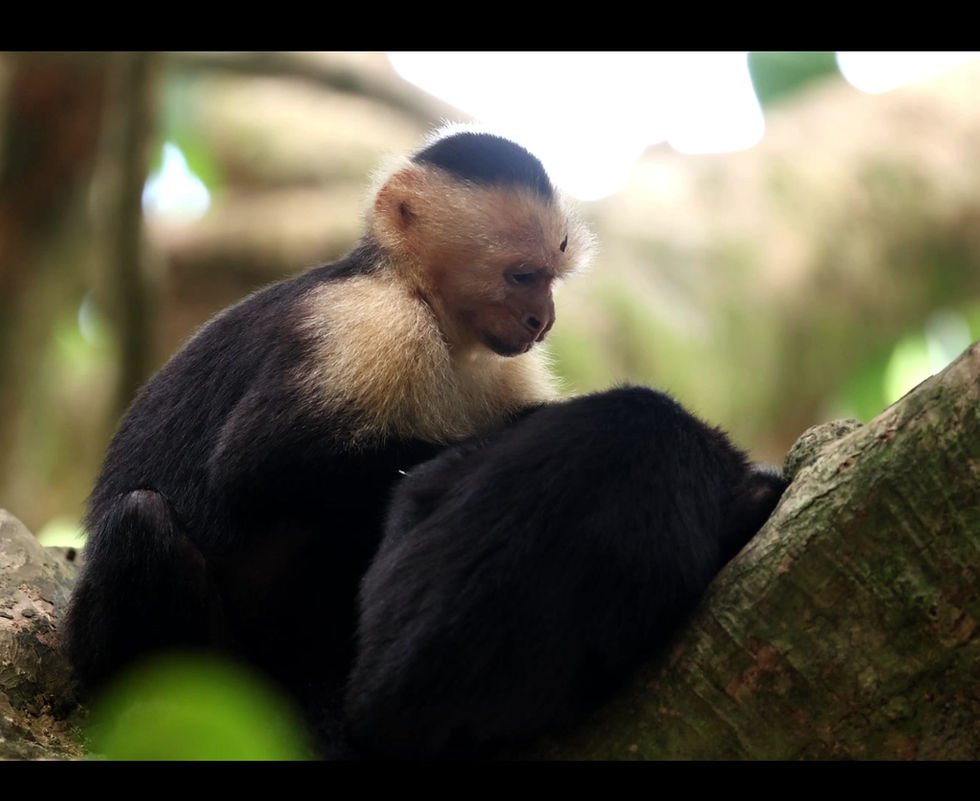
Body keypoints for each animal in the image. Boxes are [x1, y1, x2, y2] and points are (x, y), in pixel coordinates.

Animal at [62, 128, 595, 738]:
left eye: (552, 278)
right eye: (522, 276)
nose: (543, 321)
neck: (419, 298)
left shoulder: (502, 363)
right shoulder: (364, 323)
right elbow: (257, 468)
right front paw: (523, 432)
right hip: (113, 646)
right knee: (144, 520)